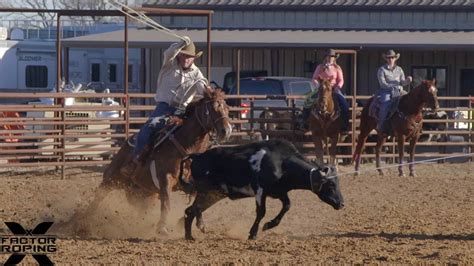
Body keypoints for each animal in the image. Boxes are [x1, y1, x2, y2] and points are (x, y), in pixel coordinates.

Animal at [88, 87, 231, 233]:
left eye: (227, 109)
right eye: (213, 108)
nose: (227, 131)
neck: (188, 148)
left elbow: (204, 202)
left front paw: (196, 224)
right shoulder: (165, 179)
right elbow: (167, 203)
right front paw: (162, 228)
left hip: (144, 194)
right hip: (111, 179)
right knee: (98, 197)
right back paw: (84, 221)